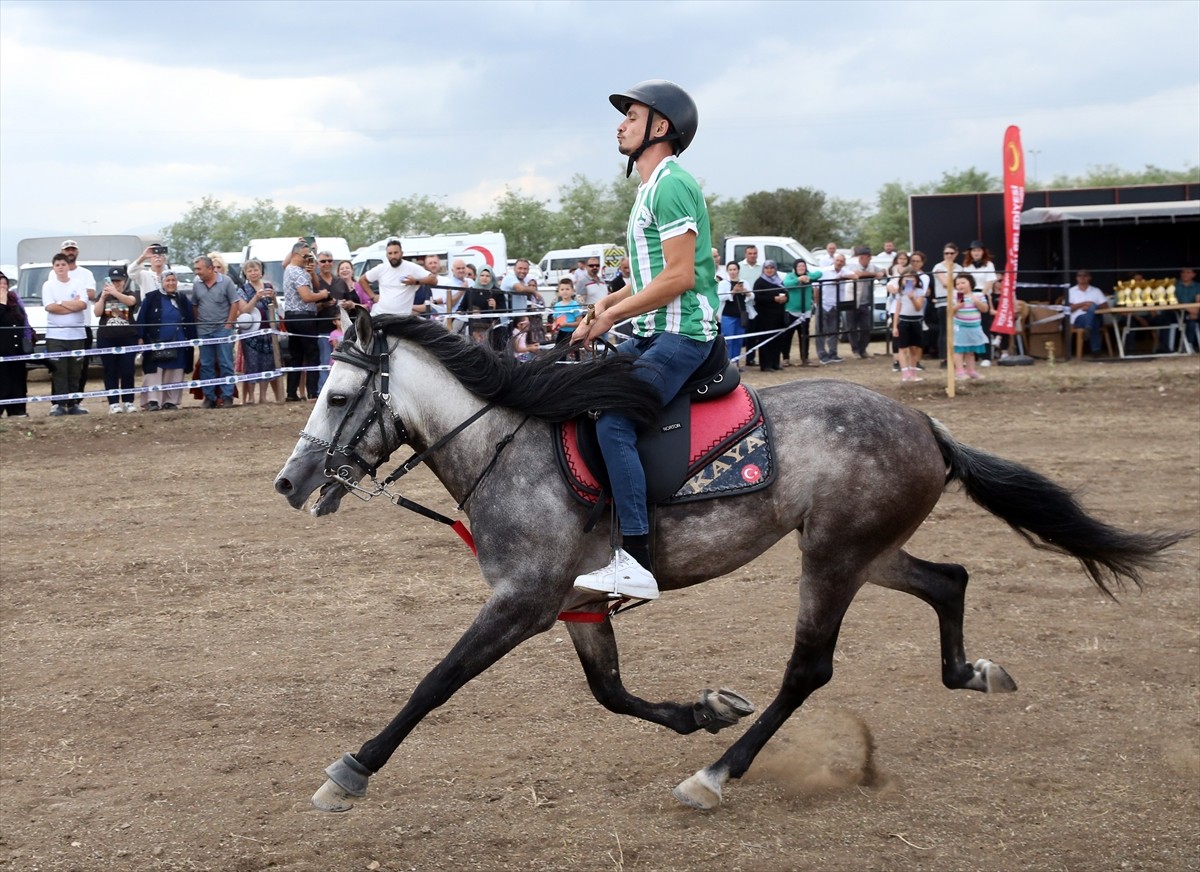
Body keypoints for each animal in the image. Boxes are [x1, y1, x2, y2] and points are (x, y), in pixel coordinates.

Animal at [276, 309, 1185, 815]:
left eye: (335, 395)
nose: (289, 482)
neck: (508, 446)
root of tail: (925, 422)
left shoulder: (522, 602)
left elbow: (436, 682)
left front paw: (351, 771)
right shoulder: (572, 604)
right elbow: (610, 692)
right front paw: (702, 710)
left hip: (834, 556)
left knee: (809, 669)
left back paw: (716, 776)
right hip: (866, 549)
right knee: (947, 580)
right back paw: (973, 673)